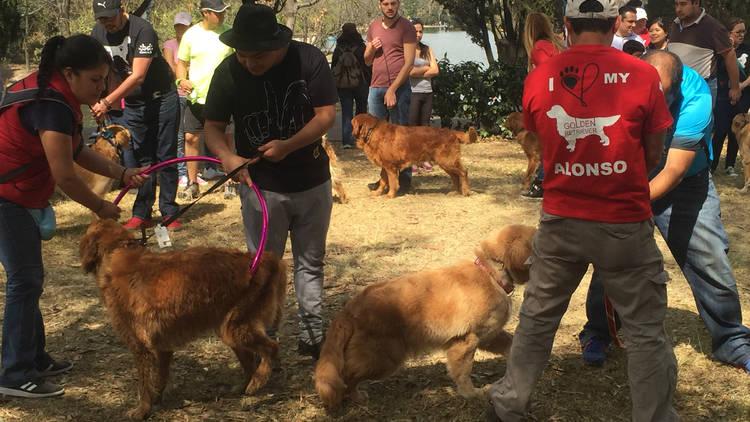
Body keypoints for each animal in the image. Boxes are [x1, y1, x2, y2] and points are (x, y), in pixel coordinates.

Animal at [81, 219, 288, 420]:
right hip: (229, 331)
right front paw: (157, 399)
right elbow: (160, 377)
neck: (118, 250)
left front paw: (142, 410)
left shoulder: (141, 348)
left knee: (272, 348)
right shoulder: (162, 347)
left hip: (235, 329)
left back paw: (258, 381)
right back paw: (245, 386)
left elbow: (145, 384)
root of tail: (261, 259)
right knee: (250, 362)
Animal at [314, 226, 536, 408]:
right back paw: (356, 397)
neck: (490, 273)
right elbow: (463, 372)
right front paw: (470, 393)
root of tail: (349, 309)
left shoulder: (489, 336)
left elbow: (512, 344)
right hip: (384, 358)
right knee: (346, 377)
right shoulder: (466, 341)